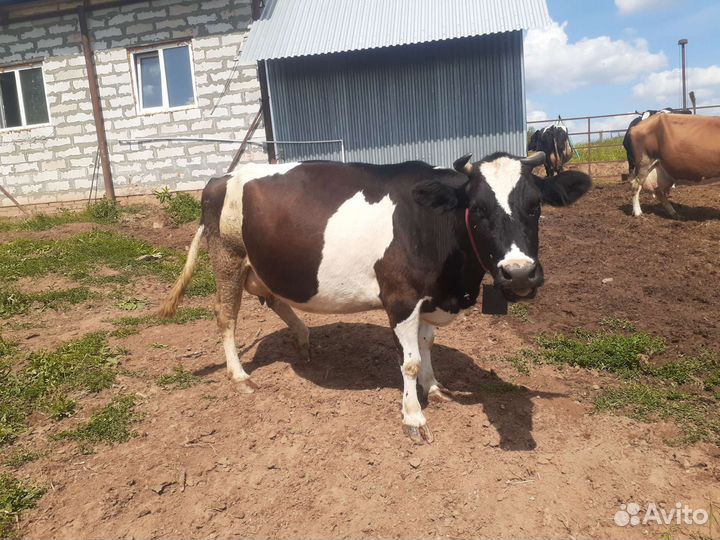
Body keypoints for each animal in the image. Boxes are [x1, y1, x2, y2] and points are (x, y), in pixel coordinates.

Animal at [159, 152, 591, 443]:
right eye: (478, 208)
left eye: (535, 206)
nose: (518, 273)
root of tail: (223, 176)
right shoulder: (401, 297)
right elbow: (410, 362)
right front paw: (414, 417)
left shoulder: (428, 299)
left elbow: (427, 345)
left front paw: (435, 387)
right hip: (227, 256)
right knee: (226, 315)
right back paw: (239, 375)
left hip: (260, 265)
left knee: (272, 297)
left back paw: (302, 338)